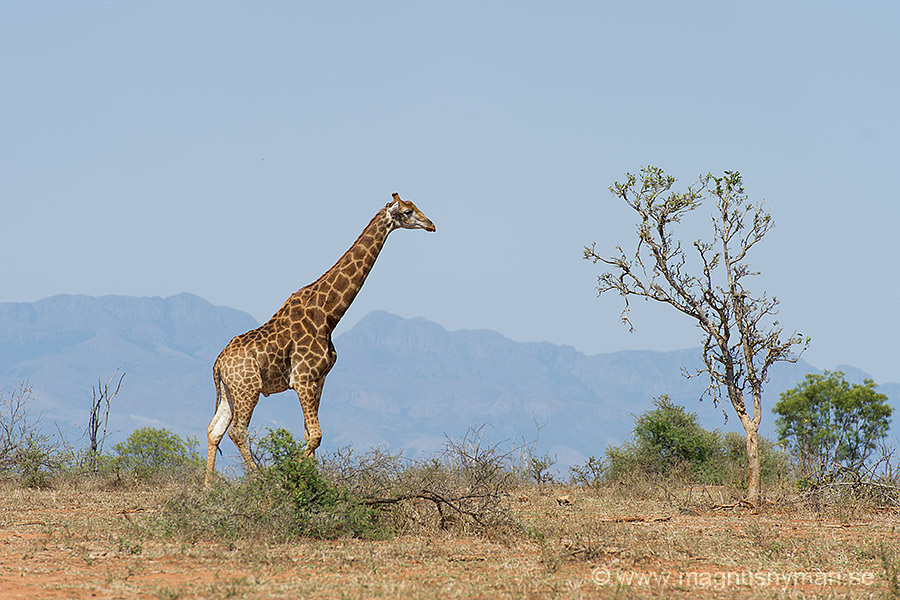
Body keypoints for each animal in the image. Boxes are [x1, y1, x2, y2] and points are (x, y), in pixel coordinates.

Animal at [208, 195, 440, 486]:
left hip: (230, 391)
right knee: (237, 431)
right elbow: (316, 435)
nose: (431, 224)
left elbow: (310, 435)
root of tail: (218, 364)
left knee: (214, 430)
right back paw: (261, 480)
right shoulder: (302, 378)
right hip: (248, 388)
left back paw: (207, 488)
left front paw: (311, 480)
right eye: (408, 211)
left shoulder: (320, 379)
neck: (328, 314)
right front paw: (292, 478)